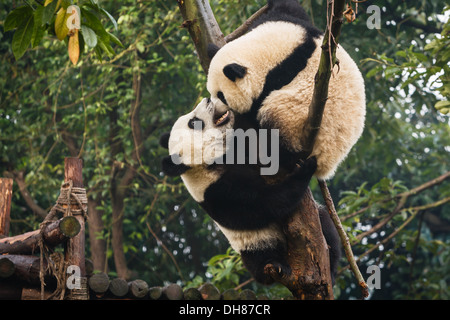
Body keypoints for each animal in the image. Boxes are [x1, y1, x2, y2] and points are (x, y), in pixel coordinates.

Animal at [160, 99, 340, 284]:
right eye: (194, 122)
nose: (207, 100)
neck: (205, 164)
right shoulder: (217, 191)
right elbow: (264, 205)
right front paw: (305, 169)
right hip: (255, 244)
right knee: (260, 261)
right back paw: (276, 265)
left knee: (328, 228)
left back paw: (331, 268)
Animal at [207, 0, 366, 180]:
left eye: (221, 96)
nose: (214, 110)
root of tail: (327, 164)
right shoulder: (299, 26)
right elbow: (289, 8)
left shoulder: (277, 79)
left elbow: (254, 111)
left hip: (296, 119)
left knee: (274, 123)